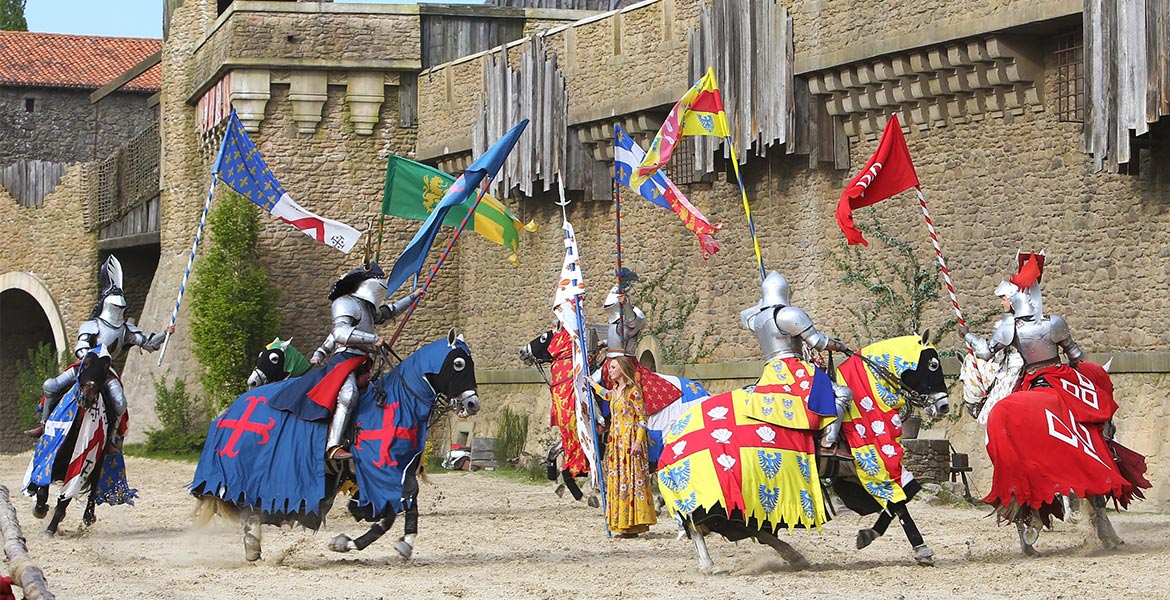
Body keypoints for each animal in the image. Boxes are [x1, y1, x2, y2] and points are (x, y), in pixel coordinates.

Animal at [21, 348, 138, 535]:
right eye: (87, 362)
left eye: (106, 367)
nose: (87, 397)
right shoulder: (49, 459)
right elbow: (43, 491)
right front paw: (40, 509)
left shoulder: (79, 469)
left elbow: (64, 500)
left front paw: (51, 528)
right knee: (50, 385)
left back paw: (88, 516)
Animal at [191, 327, 479, 561]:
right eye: (458, 364)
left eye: (273, 358)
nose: (472, 404)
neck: (397, 403)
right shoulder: (378, 472)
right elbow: (391, 510)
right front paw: (354, 541)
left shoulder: (398, 471)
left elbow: (403, 504)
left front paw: (394, 543)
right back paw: (253, 541)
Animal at [659, 332, 950, 570]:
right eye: (933, 364)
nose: (944, 406)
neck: (867, 396)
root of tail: (672, 441)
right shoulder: (874, 462)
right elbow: (900, 503)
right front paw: (921, 549)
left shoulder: (853, 472)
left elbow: (897, 503)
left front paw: (867, 536)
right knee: (702, 525)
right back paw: (712, 566)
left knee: (738, 527)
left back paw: (790, 556)